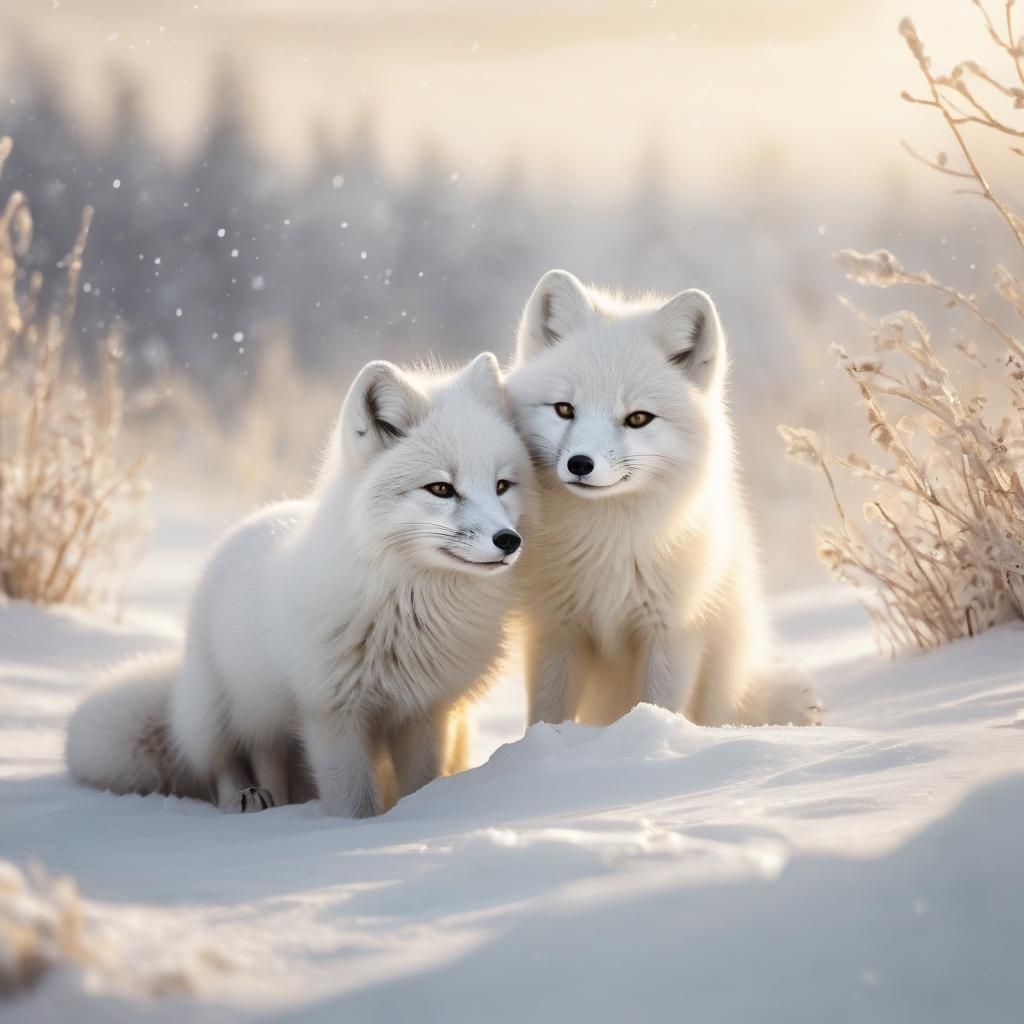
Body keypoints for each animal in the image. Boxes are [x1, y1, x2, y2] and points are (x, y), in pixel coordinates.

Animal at [66, 353, 533, 816]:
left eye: (501, 486)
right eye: (440, 488)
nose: (509, 541)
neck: (407, 606)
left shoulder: (426, 711)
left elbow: (420, 785)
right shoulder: (330, 713)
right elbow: (353, 804)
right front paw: (351, 829)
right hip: (217, 712)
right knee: (224, 764)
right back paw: (245, 798)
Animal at [505, 270, 822, 729]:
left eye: (638, 418)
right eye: (564, 409)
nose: (580, 464)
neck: (608, 547)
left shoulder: (674, 632)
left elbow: (660, 705)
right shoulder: (555, 627)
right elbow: (547, 715)